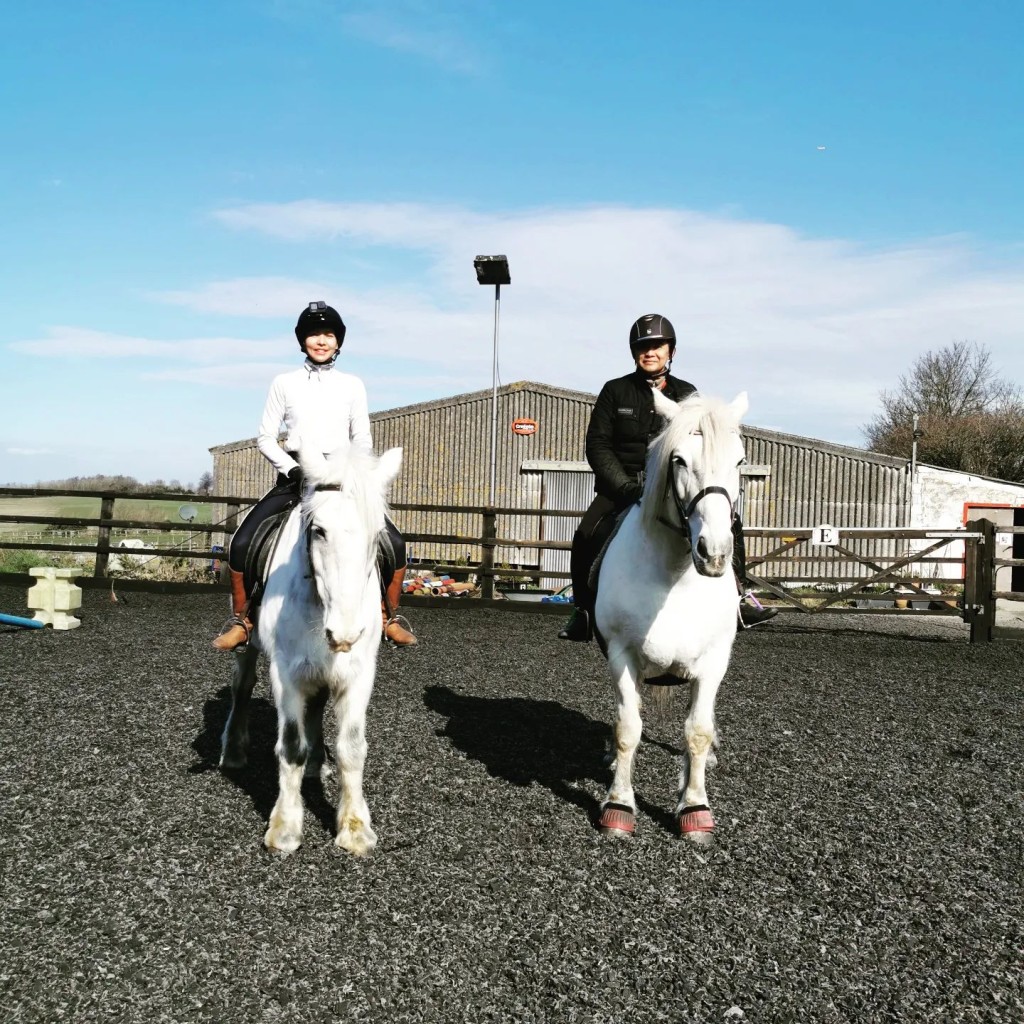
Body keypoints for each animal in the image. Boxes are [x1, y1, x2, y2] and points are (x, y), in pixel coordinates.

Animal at [219, 444, 399, 851]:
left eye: (377, 534)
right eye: (318, 531)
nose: (346, 632)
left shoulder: (359, 672)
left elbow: (352, 748)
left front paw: (355, 829)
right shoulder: (284, 672)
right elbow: (290, 745)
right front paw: (285, 827)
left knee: (316, 703)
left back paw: (318, 762)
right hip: (250, 643)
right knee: (242, 686)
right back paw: (233, 750)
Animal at [593, 387, 745, 843]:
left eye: (740, 461)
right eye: (677, 459)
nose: (714, 553)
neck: (675, 575)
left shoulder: (714, 660)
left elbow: (697, 731)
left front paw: (694, 809)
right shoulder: (622, 654)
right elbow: (628, 728)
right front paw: (618, 805)